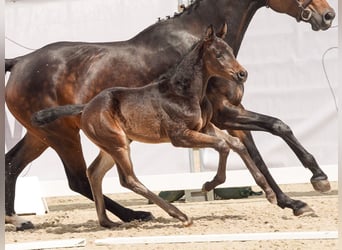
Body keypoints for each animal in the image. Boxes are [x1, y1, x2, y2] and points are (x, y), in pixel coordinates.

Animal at [32, 24, 276, 227]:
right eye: (218, 54)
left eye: (232, 52)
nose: (242, 74)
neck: (184, 92)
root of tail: (85, 107)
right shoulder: (180, 136)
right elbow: (223, 146)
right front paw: (208, 184)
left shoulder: (204, 128)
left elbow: (235, 143)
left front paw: (270, 193)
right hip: (118, 144)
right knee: (129, 180)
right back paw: (180, 215)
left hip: (114, 144)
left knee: (94, 172)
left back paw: (107, 222)